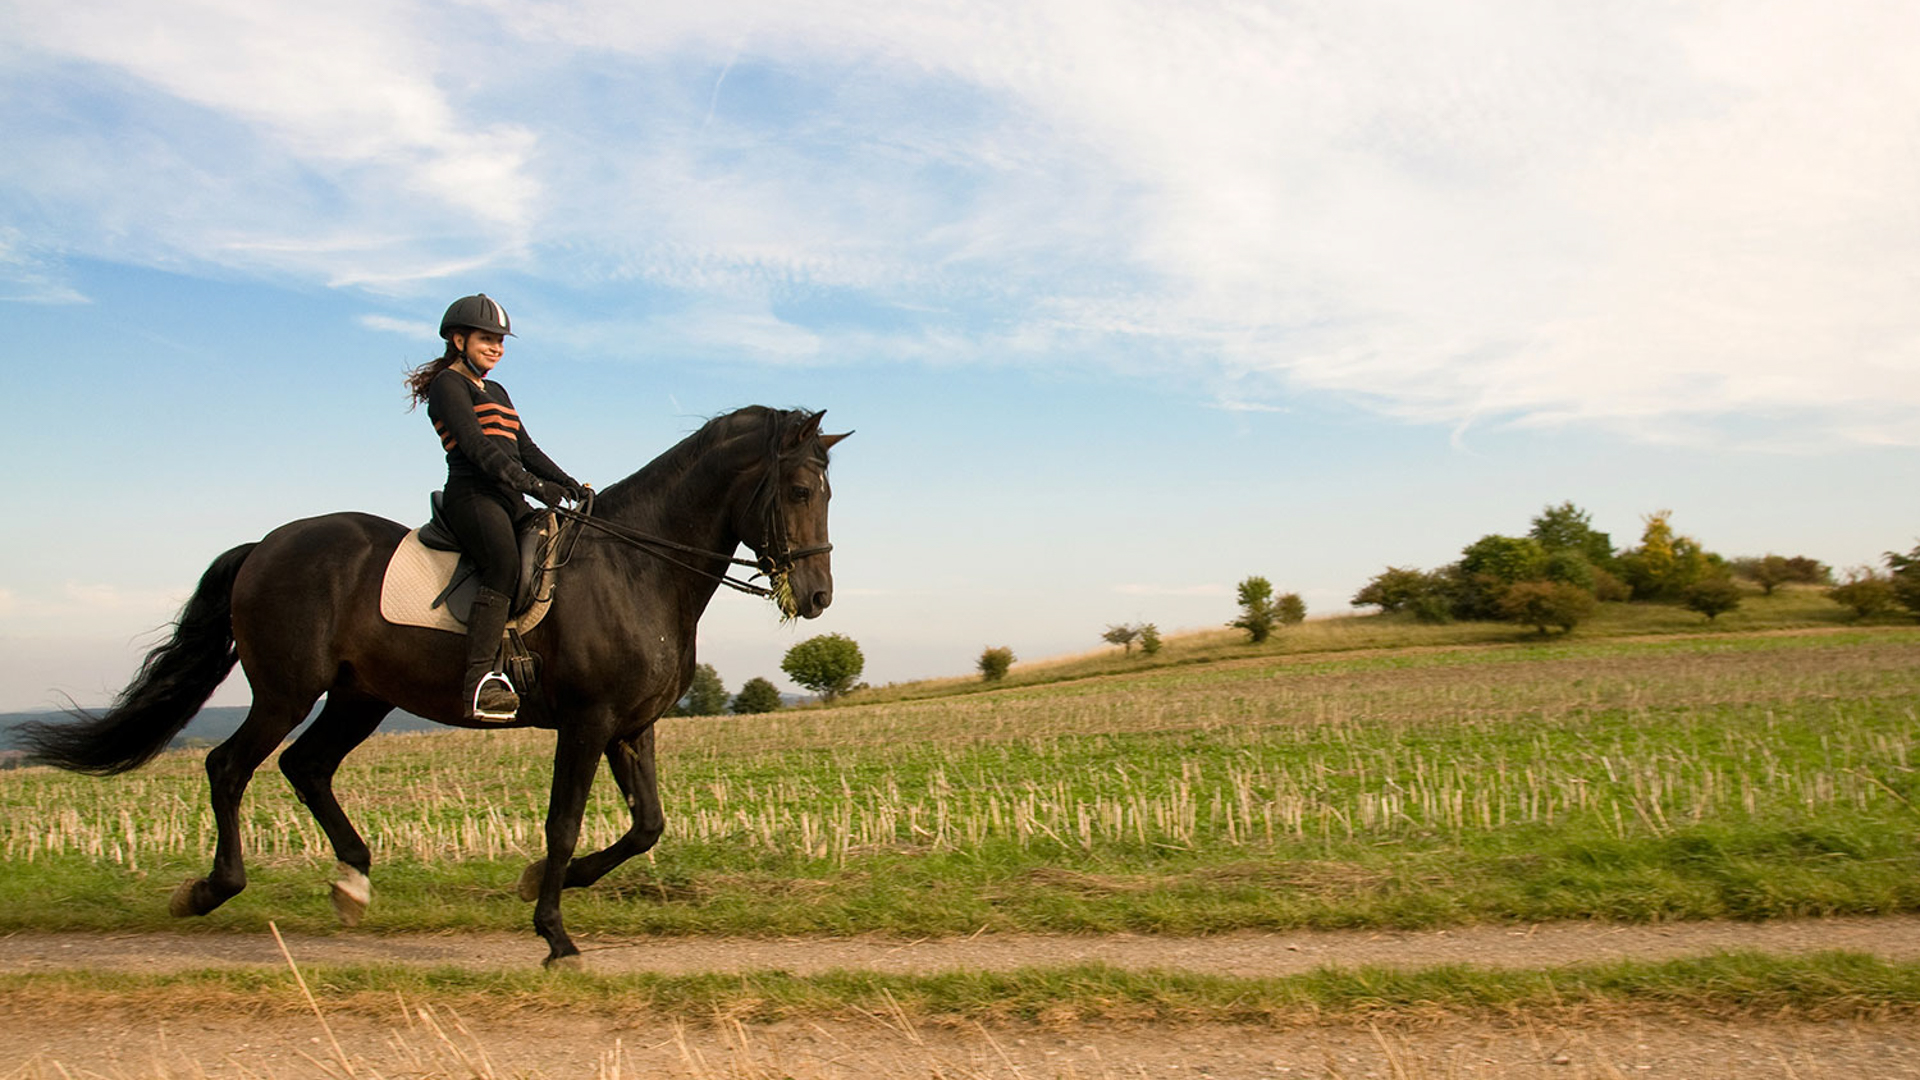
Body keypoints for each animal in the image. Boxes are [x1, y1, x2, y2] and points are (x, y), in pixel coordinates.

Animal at [20, 407, 848, 960]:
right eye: (800, 489)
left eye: (826, 491)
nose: (815, 596)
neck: (637, 566)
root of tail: (264, 546)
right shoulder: (587, 723)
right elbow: (564, 822)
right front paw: (554, 934)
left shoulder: (630, 725)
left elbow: (647, 825)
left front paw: (539, 886)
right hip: (288, 691)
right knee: (230, 766)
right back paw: (210, 889)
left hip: (360, 696)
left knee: (305, 766)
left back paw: (352, 882)